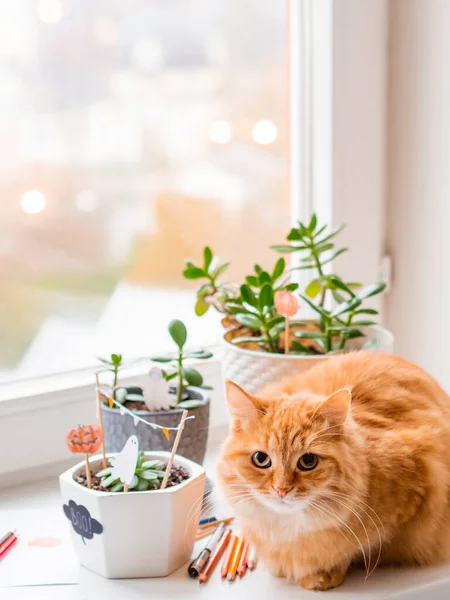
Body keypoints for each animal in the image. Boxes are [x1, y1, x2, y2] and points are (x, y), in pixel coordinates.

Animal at [218, 352, 450, 592]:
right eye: (261, 459)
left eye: (308, 461)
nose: (282, 489)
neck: (290, 527)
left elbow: (355, 550)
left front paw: (323, 575)